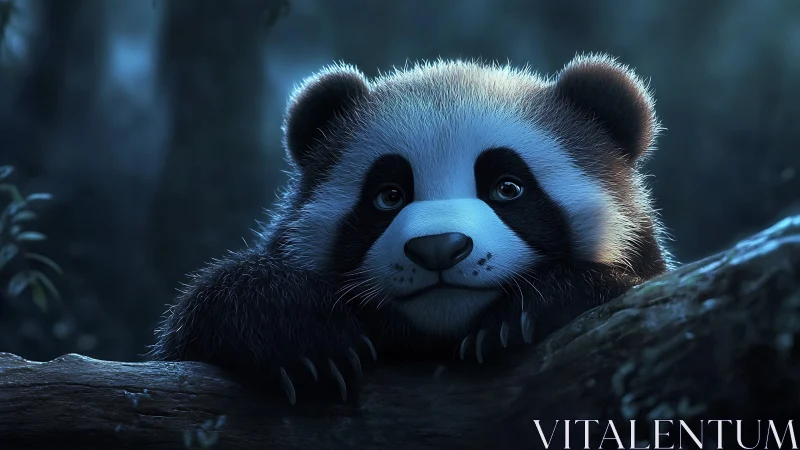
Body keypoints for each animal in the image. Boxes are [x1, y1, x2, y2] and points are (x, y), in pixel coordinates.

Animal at [150, 53, 674, 405]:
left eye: (508, 187)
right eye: (388, 195)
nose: (438, 248)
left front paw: (526, 313)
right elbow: (196, 322)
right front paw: (305, 339)